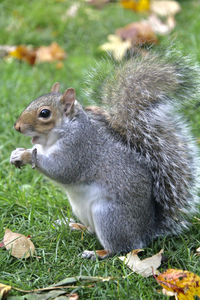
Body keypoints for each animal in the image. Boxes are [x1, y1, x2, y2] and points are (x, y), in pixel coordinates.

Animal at [10, 51, 199, 258]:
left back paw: (96, 253)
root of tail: (147, 231)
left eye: (44, 113)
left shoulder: (79, 148)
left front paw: (27, 155)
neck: (52, 138)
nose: (17, 127)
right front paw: (16, 153)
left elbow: (62, 170)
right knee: (92, 230)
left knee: (121, 248)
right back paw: (74, 226)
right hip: (82, 209)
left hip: (109, 217)